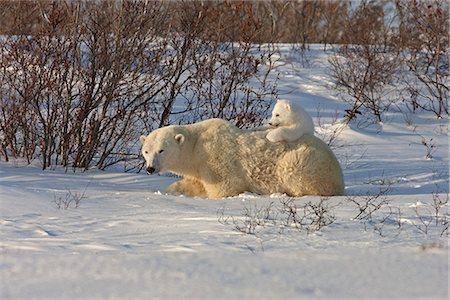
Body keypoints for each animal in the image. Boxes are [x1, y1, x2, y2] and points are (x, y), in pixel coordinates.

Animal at [141, 118, 344, 198]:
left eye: (161, 150)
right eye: (146, 151)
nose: (150, 168)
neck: (197, 146)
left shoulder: (215, 160)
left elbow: (225, 187)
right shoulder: (198, 169)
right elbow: (191, 183)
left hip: (304, 161)